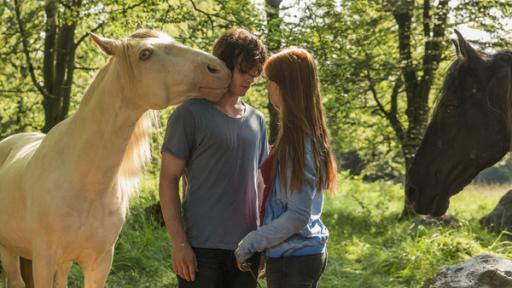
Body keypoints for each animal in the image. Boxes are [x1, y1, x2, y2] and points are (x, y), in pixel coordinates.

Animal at [0, 28, 230, 286]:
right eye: (145, 54)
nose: (219, 69)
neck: (83, 182)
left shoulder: (99, 264)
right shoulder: (44, 260)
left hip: (62, 263)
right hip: (9, 252)